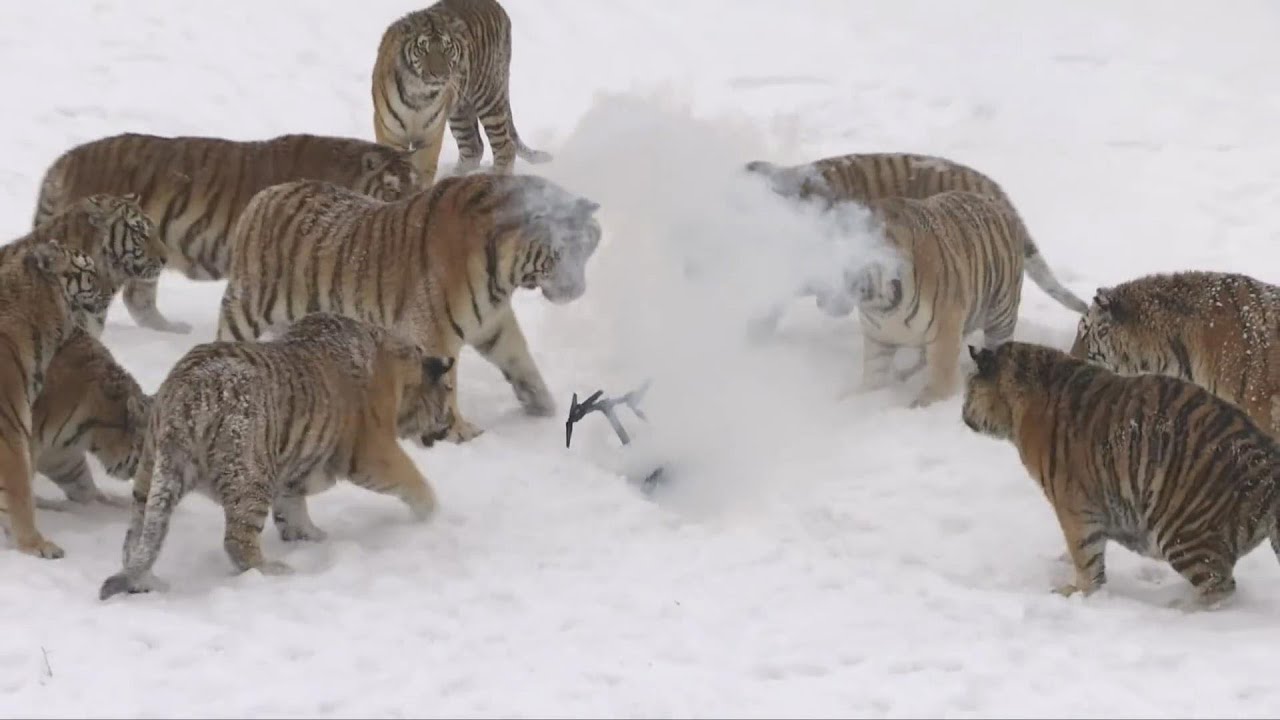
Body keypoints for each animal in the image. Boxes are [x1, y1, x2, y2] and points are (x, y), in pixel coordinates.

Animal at [98, 312, 457, 600]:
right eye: (448, 394)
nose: (451, 424)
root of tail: (187, 390)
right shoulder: (374, 452)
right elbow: (412, 477)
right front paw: (431, 513)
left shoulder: (295, 466)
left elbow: (293, 508)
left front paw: (311, 537)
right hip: (250, 475)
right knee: (237, 541)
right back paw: (273, 571)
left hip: (152, 472)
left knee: (137, 537)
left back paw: (144, 582)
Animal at [215, 172, 602, 444]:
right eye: (561, 251)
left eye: (587, 248)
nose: (578, 289)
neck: (503, 274)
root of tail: (265, 195)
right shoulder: (435, 331)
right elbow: (449, 385)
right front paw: (460, 431)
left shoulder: (494, 324)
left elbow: (521, 361)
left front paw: (544, 405)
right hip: (248, 305)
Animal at [371, 0, 552, 187]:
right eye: (423, 48)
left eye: (446, 48)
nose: (440, 74)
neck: (419, 95)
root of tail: (497, 5)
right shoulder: (391, 135)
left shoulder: (431, 137)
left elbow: (423, 171)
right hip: (461, 111)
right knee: (474, 148)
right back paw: (454, 177)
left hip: (488, 98)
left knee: (505, 147)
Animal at [961, 340, 1280, 609]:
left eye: (969, 390)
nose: (963, 416)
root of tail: (1269, 463)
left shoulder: (1074, 506)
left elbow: (1086, 557)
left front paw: (1076, 594)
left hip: (1184, 529)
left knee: (1219, 587)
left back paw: (1179, 608)